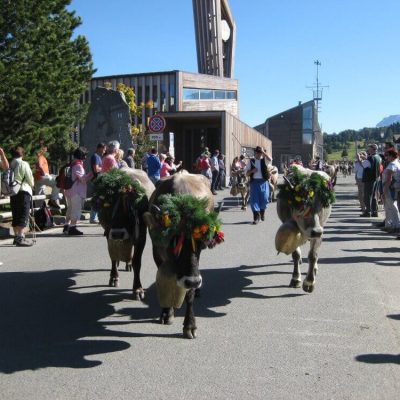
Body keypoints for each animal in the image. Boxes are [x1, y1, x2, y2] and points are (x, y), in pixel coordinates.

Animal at [92, 167, 155, 298]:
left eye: (127, 205)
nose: (117, 233)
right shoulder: (109, 233)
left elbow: (137, 262)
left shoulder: (141, 235)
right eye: (107, 205)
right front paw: (114, 277)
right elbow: (113, 257)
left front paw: (137, 288)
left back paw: (128, 264)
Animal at [143, 173, 225, 340]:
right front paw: (167, 313)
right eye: (174, 240)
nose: (193, 281)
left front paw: (190, 326)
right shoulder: (157, 251)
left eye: (201, 242)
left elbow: (189, 295)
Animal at [276, 166, 334, 294]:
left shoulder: (319, 233)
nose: (316, 231)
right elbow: (296, 254)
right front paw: (295, 279)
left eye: (323, 205)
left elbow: (313, 255)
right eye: (303, 204)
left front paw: (309, 282)